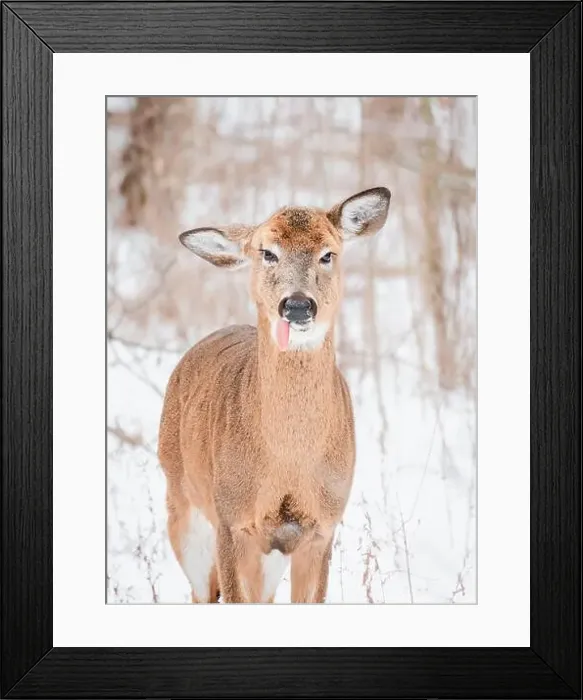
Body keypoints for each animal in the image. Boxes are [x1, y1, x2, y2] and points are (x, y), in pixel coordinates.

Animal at [158, 186, 391, 603]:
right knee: (201, 592)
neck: (287, 462)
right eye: (267, 252)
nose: (297, 305)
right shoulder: (231, 519)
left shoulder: (321, 527)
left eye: (328, 253)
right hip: (182, 503)